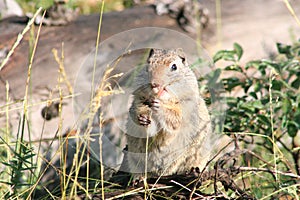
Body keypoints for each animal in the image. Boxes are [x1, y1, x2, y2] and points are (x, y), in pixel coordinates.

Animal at [121, 48, 211, 177]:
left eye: (174, 66)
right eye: (148, 64)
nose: (154, 84)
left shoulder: (186, 108)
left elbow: (174, 119)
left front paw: (160, 107)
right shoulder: (138, 101)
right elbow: (137, 114)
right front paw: (142, 118)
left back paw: (193, 171)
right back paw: (139, 178)